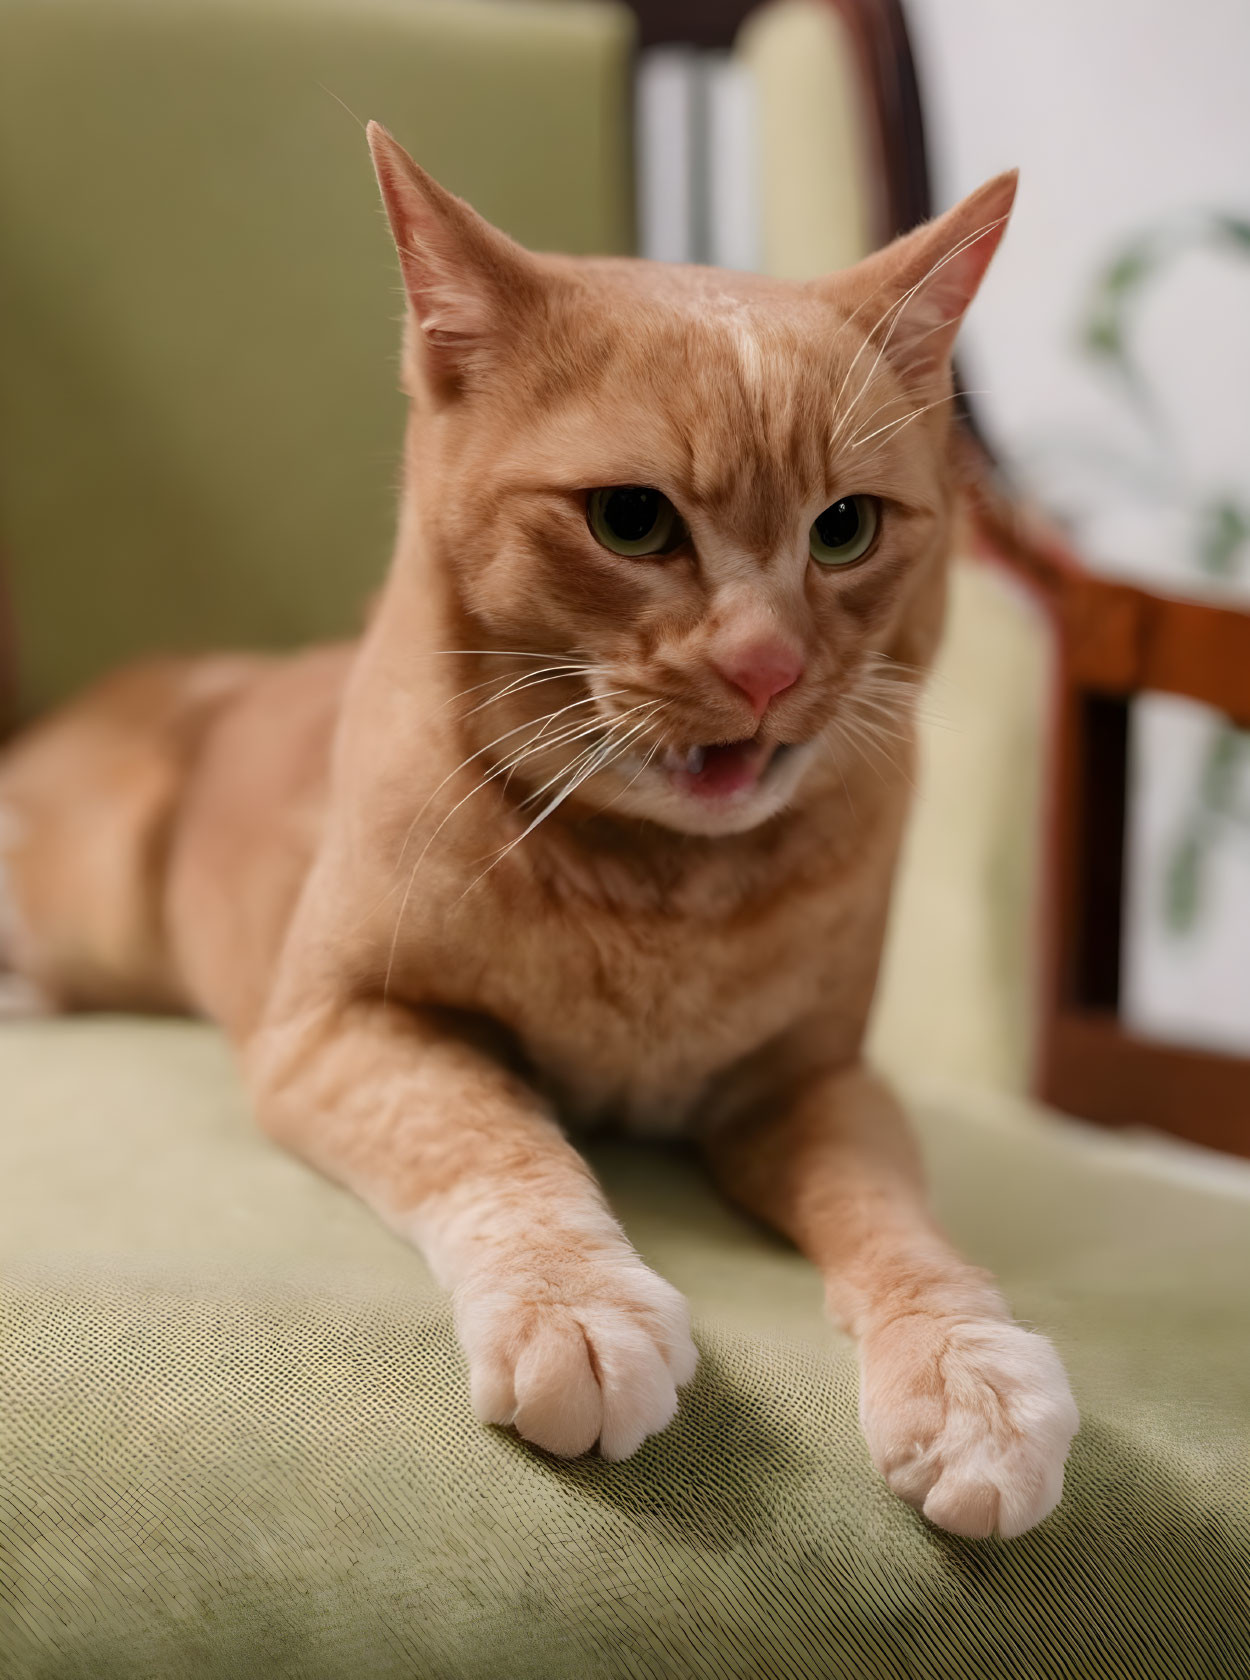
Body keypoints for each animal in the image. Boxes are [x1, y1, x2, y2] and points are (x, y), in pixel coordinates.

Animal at [0, 127, 1075, 1538]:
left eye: (843, 529)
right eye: (630, 520)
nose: (768, 669)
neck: (663, 891)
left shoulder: (817, 1084)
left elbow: (900, 1226)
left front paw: (969, 1377)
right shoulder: (345, 1028)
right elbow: (501, 1141)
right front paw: (576, 1308)